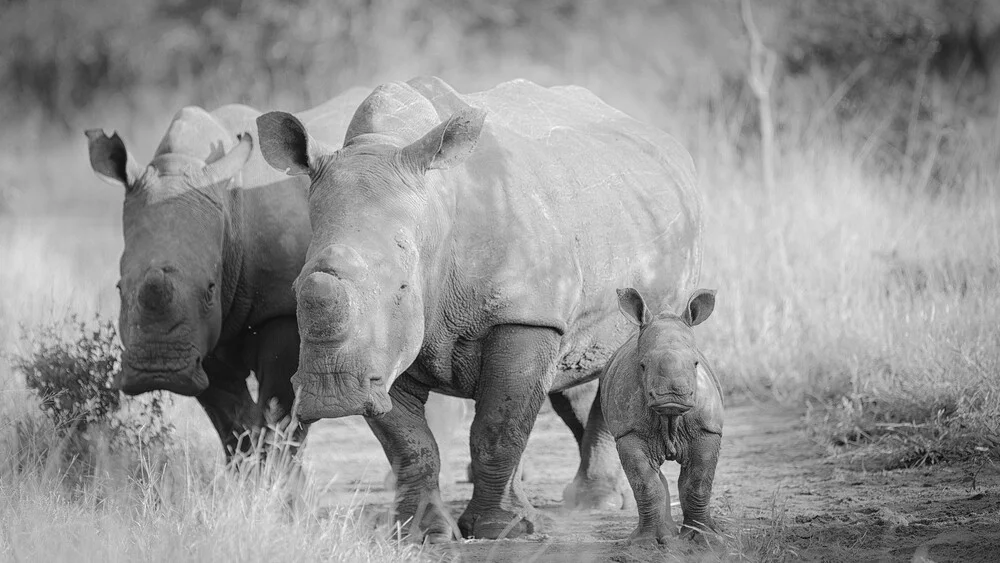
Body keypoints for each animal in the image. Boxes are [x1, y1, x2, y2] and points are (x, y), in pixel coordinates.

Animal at [85, 87, 368, 458]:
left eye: (209, 288)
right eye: (119, 289)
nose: (158, 369)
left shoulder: (282, 310)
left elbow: (281, 414)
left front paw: (278, 472)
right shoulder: (201, 335)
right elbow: (233, 423)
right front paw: (247, 469)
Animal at [256, 78, 704, 540]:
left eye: (402, 288)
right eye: (296, 288)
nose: (333, 394)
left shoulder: (523, 316)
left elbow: (498, 426)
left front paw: (501, 530)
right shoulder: (383, 355)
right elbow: (410, 441)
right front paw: (422, 533)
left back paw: (592, 504)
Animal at [596, 288, 724, 544]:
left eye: (696, 363)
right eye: (643, 365)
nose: (671, 396)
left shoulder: (708, 429)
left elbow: (698, 483)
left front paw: (704, 540)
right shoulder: (629, 433)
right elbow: (645, 485)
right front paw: (646, 543)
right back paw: (667, 534)